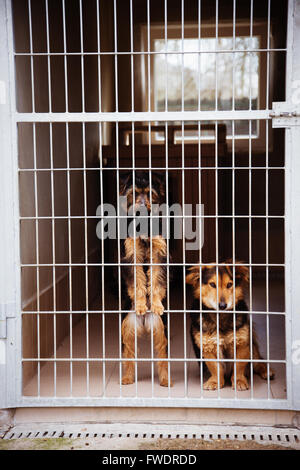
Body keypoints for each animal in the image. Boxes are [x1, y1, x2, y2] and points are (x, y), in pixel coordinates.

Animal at [186, 262, 276, 392]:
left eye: (229, 285)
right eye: (212, 284)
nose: (223, 305)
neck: (221, 317)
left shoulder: (242, 343)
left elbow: (238, 365)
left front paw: (239, 381)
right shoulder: (207, 346)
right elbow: (214, 367)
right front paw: (215, 381)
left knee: (258, 361)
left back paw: (266, 371)